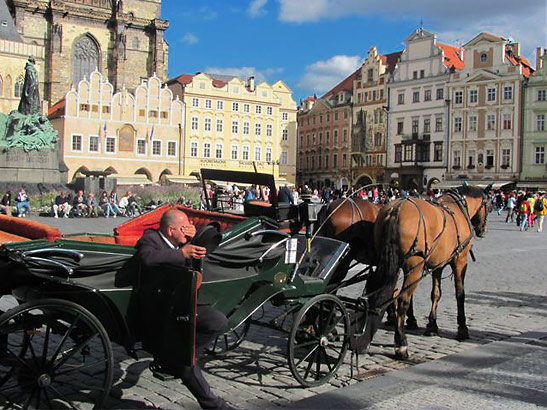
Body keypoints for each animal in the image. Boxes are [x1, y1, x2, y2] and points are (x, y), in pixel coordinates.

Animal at [360, 184, 492, 358]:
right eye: (488, 205)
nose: (483, 230)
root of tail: (395, 210)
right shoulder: (460, 261)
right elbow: (460, 294)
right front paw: (462, 329)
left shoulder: (438, 265)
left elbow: (436, 293)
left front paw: (432, 325)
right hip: (414, 267)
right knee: (403, 300)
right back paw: (401, 344)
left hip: (387, 264)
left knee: (387, 294)